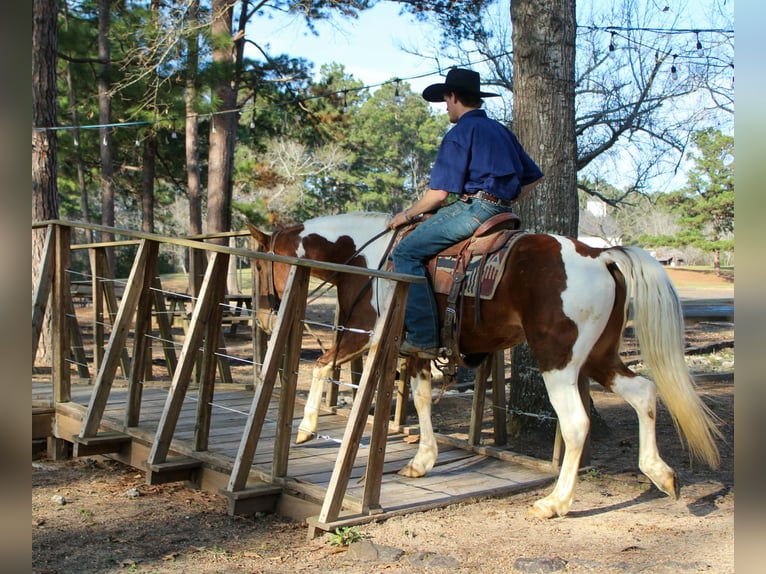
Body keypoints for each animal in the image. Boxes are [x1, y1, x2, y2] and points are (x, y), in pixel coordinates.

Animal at [246, 211, 721, 519]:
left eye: (262, 264)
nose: (266, 317)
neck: (367, 258)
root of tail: (600, 256)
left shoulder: (363, 335)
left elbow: (323, 366)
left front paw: (306, 429)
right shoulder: (416, 351)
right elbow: (421, 399)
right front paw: (423, 460)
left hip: (559, 361)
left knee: (576, 424)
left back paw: (556, 502)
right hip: (599, 357)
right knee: (643, 392)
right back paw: (661, 474)